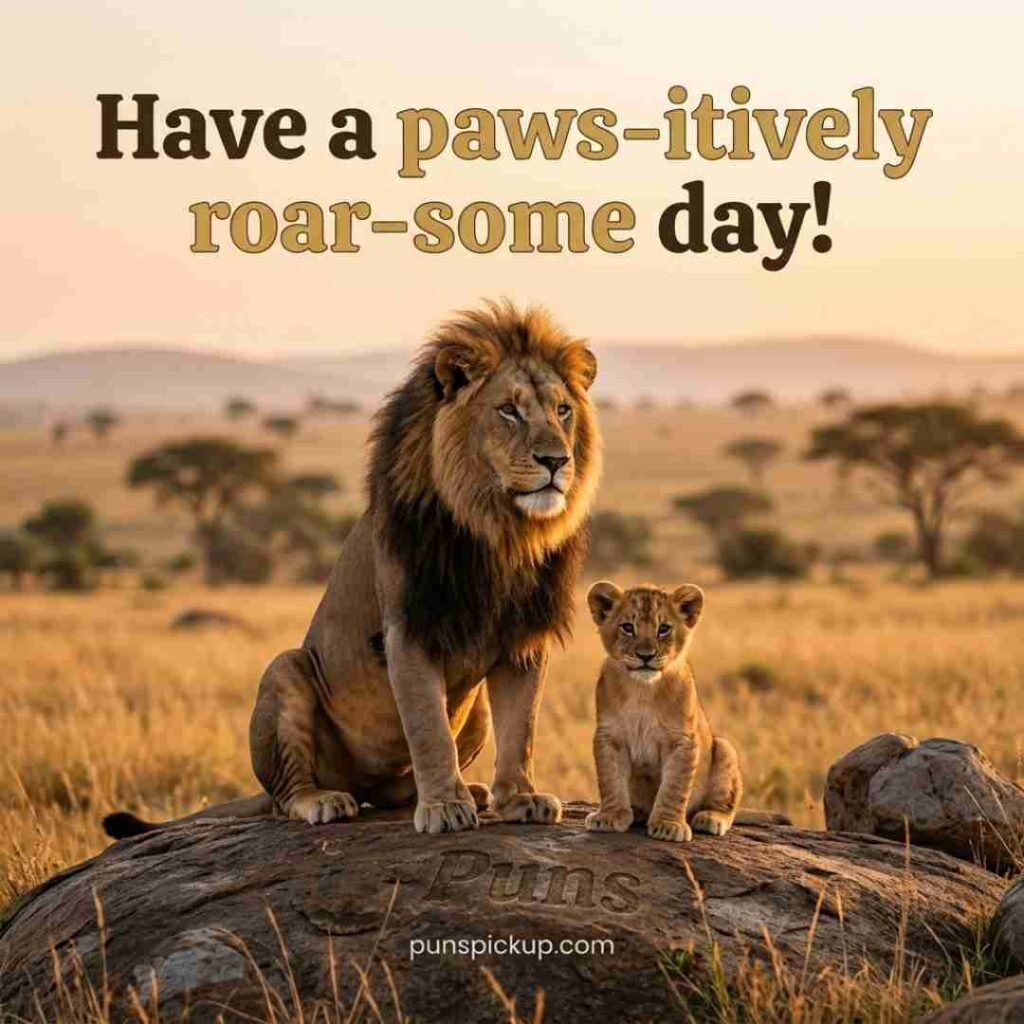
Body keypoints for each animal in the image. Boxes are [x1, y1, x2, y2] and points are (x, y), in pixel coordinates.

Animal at [104, 300, 601, 838]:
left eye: (563, 411)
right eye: (508, 410)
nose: (556, 460)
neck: (499, 531)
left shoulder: (524, 636)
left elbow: (521, 727)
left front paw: (520, 798)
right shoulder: (409, 630)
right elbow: (428, 730)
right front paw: (444, 807)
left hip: (474, 716)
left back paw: (470, 791)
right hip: (287, 671)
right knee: (286, 796)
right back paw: (326, 800)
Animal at [583, 581, 788, 842]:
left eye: (663, 629)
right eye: (628, 627)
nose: (646, 656)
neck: (643, 690)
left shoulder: (682, 740)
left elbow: (674, 787)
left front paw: (668, 825)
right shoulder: (609, 736)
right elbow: (610, 780)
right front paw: (610, 816)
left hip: (724, 749)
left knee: (726, 808)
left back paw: (710, 818)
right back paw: (637, 811)